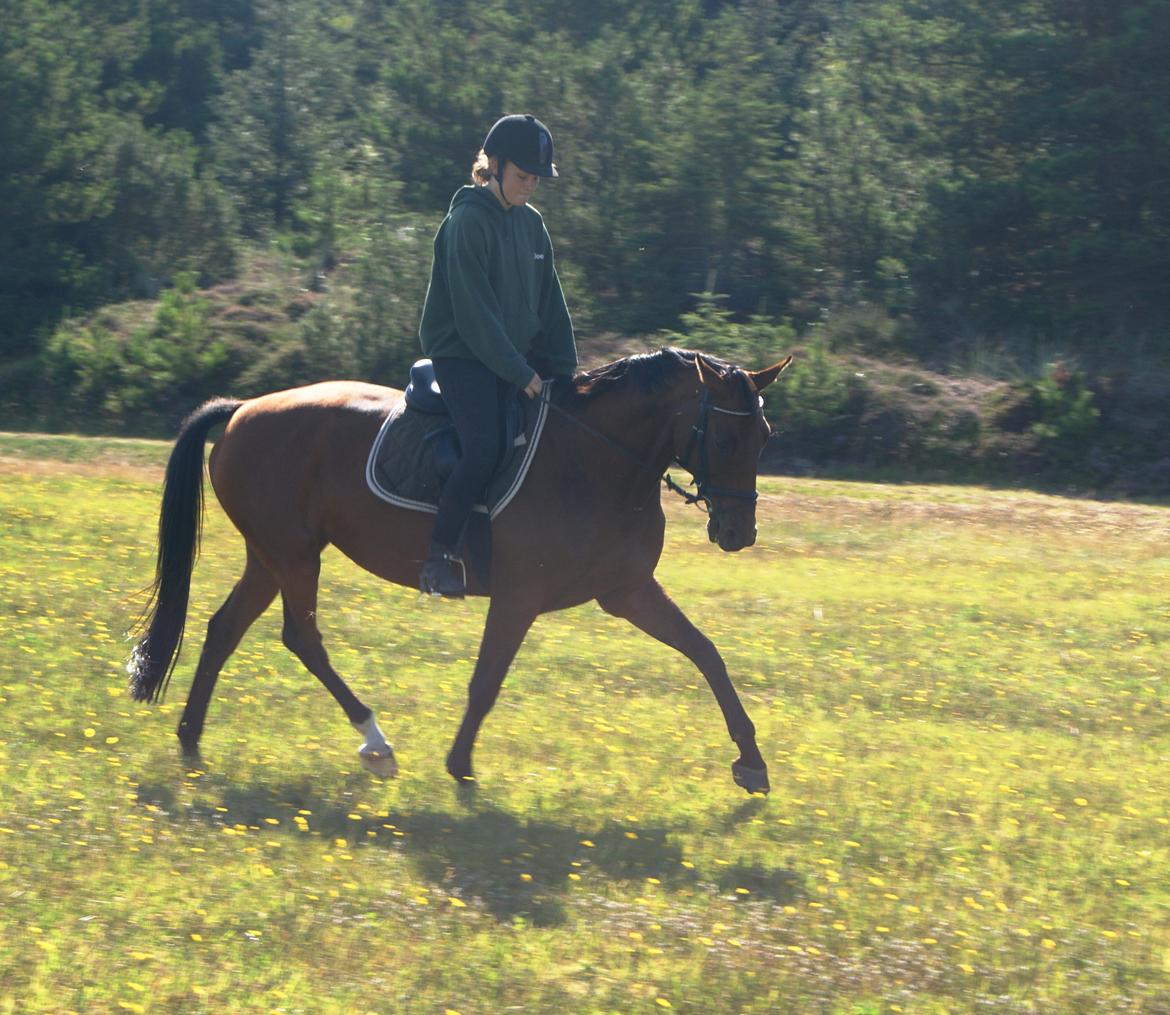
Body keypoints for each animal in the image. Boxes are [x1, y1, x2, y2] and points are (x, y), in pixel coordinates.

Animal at [128, 348, 790, 795]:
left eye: (765, 436)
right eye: (725, 438)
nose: (739, 533)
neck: (595, 460)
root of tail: (244, 409)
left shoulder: (627, 590)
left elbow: (706, 653)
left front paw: (751, 761)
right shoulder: (520, 597)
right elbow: (486, 681)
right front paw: (461, 766)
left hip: (271, 555)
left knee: (224, 629)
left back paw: (190, 738)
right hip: (293, 556)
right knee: (302, 638)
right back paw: (375, 741)